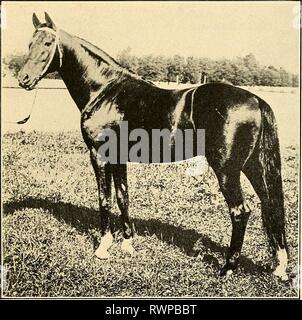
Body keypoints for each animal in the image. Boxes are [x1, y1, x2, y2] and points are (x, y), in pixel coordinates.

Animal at [17, 11, 290, 280]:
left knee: (240, 212)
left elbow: (104, 198)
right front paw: (127, 243)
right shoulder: (118, 157)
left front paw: (103, 247)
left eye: (48, 43)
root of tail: (256, 100)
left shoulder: (99, 154)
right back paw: (279, 267)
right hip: (254, 166)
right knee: (271, 206)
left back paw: (228, 268)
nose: (23, 79)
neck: (104, 91)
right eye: (29, 43)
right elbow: (122, 196)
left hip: (227, 170)